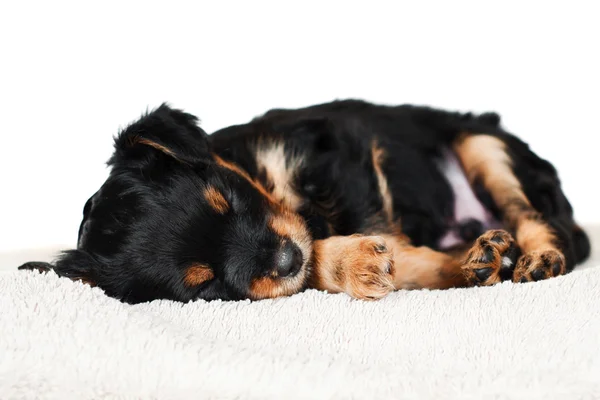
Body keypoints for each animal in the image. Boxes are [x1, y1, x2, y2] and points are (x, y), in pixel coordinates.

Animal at [18, 101, 592, 304]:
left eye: (230, 197)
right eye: (205, 286)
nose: (286, 257)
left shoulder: (344, 149)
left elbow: (378, 229)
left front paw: (378, 258)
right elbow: (322, 258)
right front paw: (356, 262)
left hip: (482, 144)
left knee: (536, 217)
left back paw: (537, 258)